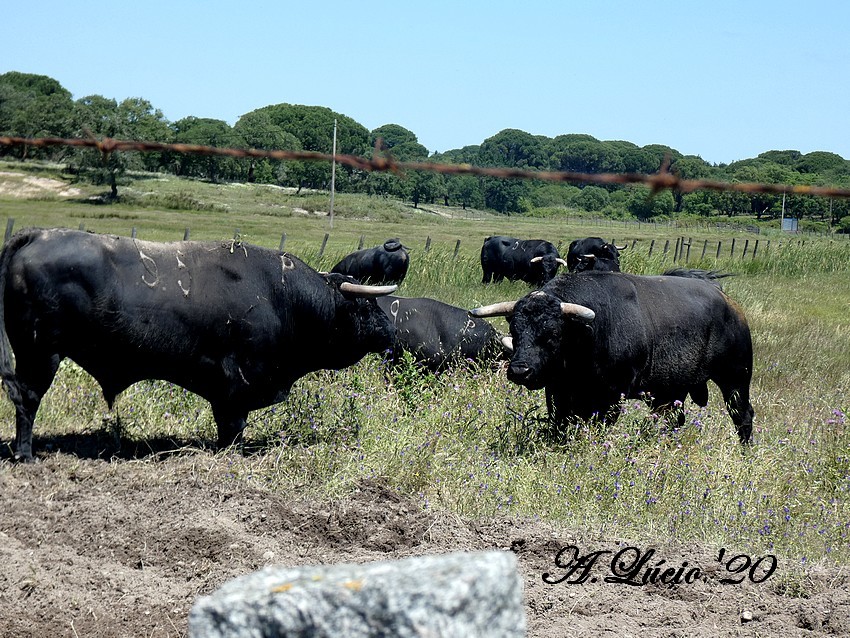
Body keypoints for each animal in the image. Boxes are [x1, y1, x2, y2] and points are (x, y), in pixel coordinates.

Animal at [0, 228, 398, 461]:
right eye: (366, 306)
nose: (391, 332)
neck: (283, 298)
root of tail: (37, 236)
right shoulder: (238, 383)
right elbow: (234, 427)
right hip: (41, 354)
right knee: (27, 399)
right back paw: (26, 454)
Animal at [471, 271, 754, 443]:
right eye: (514, 329)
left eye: (553, 332)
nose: (520, 371)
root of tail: (728, 302)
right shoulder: (558, 392)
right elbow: (559, 423)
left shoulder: (610, 397)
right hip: (670, 391)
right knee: (673, 419)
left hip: (735, 381)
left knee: (743, 416)